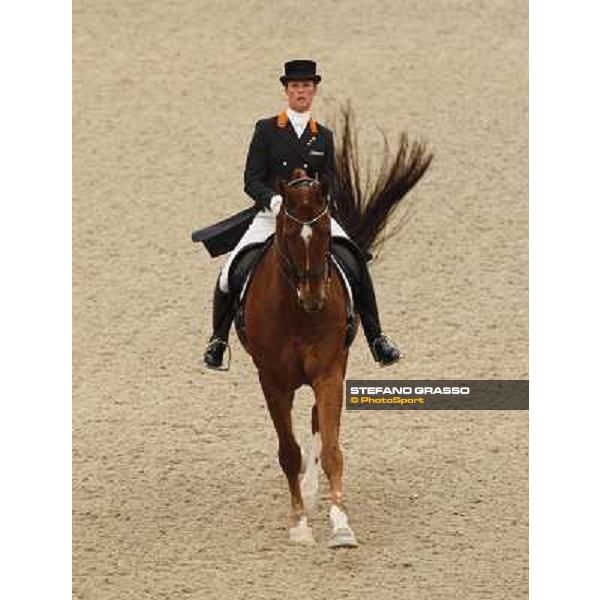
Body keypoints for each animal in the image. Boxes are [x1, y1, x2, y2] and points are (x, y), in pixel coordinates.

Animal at [233, 105, 432, 548]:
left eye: (325, 231)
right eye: (290, 233)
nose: (313, 298)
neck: (296, 315)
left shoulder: (328, 371)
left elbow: (332, 450)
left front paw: (341, 526)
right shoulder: (271, 379)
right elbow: (288, 452)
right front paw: (299, 524)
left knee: (315, 424)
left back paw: (312, 491)